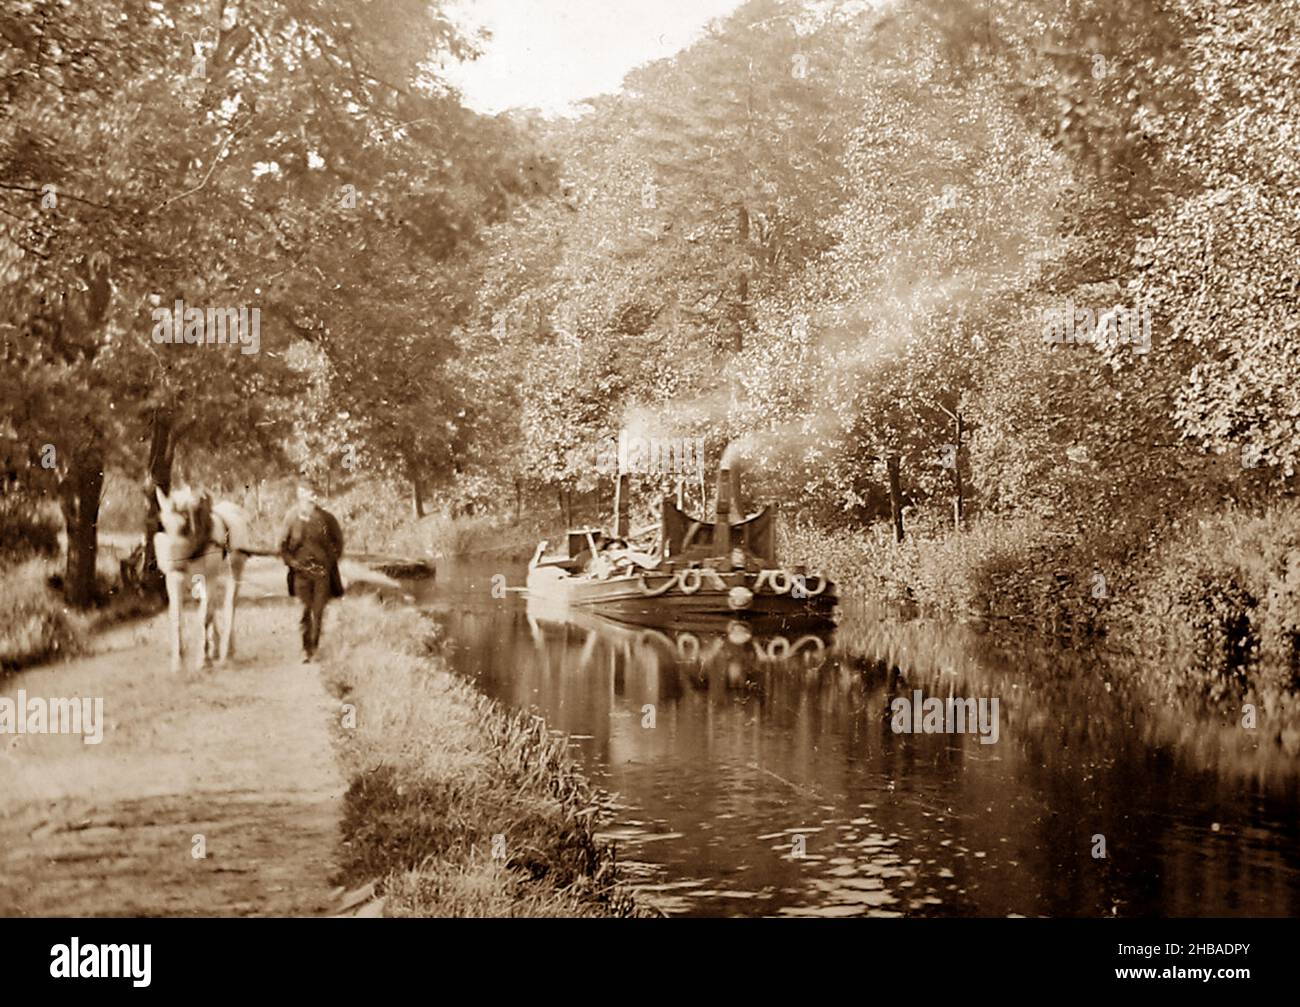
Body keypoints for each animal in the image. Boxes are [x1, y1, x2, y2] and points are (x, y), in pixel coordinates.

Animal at [154, 488, 250, 675]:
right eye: (163, 524)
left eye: (185, 526)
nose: (171, 563)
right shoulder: (175, 580)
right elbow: (177, 617)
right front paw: (178, 662)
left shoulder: (209, 579)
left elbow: (204, 617)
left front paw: (204, 661)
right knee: (212, 608)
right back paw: (216, 648)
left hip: (234, 571)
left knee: (229, 606)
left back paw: (228, 651)